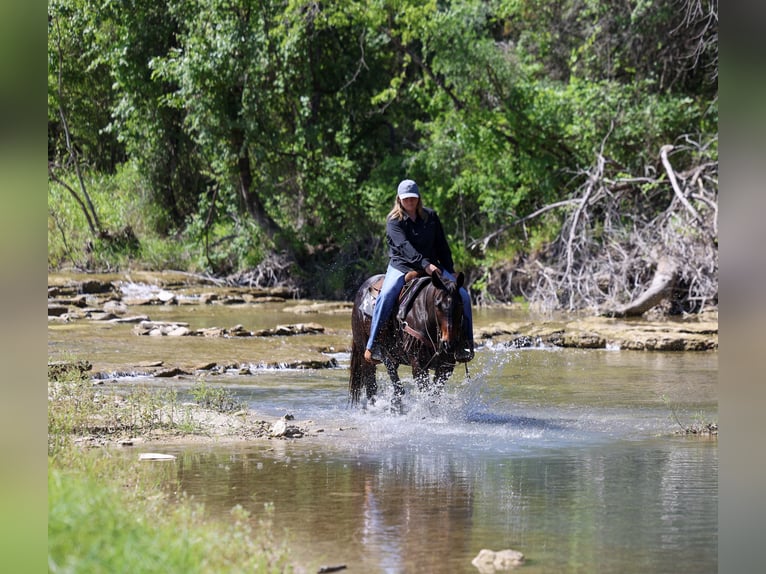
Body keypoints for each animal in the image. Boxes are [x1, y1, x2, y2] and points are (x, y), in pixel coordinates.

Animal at [348, 271, 469, 411]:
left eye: (460, 304)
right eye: (437, 305)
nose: (448, 344)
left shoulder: (446, 366)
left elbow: (435, 393)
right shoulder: (418, 364)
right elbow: (426, 392)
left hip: (391, 355)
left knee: (395, 385)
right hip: (366, 355)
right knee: (371, 386)